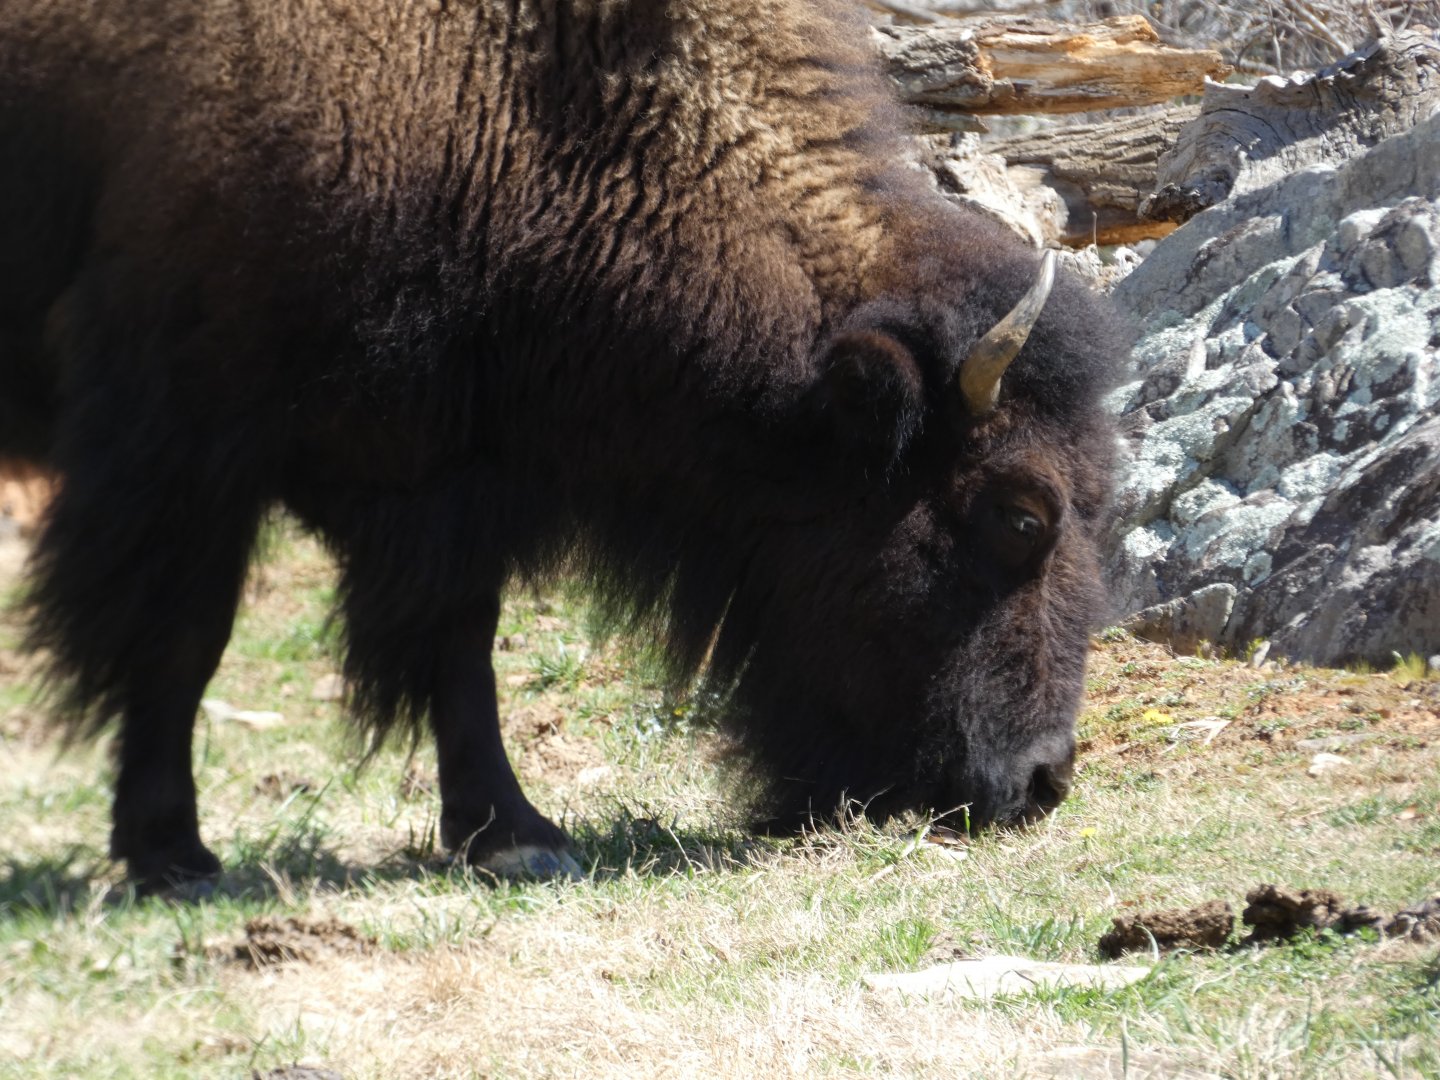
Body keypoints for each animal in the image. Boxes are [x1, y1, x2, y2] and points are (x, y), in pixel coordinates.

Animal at [0, 0, 1121, 889]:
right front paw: (171, 854)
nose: (1043, 779)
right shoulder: (182, 438)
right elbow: (181, 637)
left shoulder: (444, 463)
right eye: (1020, 513)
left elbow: (460, 641)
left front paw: (512, 834)